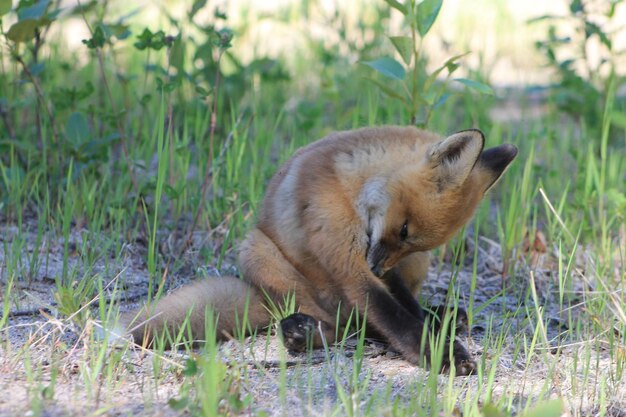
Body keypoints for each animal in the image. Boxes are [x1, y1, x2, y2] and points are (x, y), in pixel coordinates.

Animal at [123, 126, 516, 374]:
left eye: (409, 238)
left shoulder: (383, 263)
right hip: (259, 251)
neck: (351, 187)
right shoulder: (348, 265)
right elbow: (398, 320)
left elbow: (409, 310)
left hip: (418, 265)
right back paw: (303, 332)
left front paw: (438, 334)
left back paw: (441, 314)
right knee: (345, 326)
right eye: (404, 229)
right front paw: (445, 355)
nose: (377, 269)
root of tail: (258, 295)